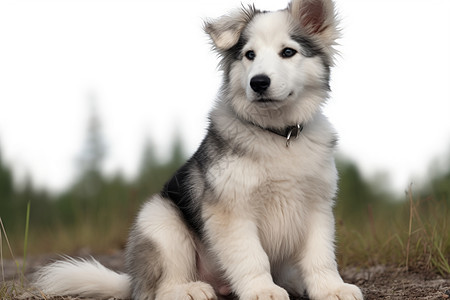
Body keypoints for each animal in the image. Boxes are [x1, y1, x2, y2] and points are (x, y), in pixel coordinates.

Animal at [35, 0, 366, 300]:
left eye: (288, 52)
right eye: (249, 55)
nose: (258, 83)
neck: (278, 135)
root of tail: (133, 279)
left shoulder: (317, 208)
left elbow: (320, 256)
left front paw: (331, 288)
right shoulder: (231, 211)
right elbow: (252, 256)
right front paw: (262, 290)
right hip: (161, 222)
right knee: (159, 289)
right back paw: (189, 289)